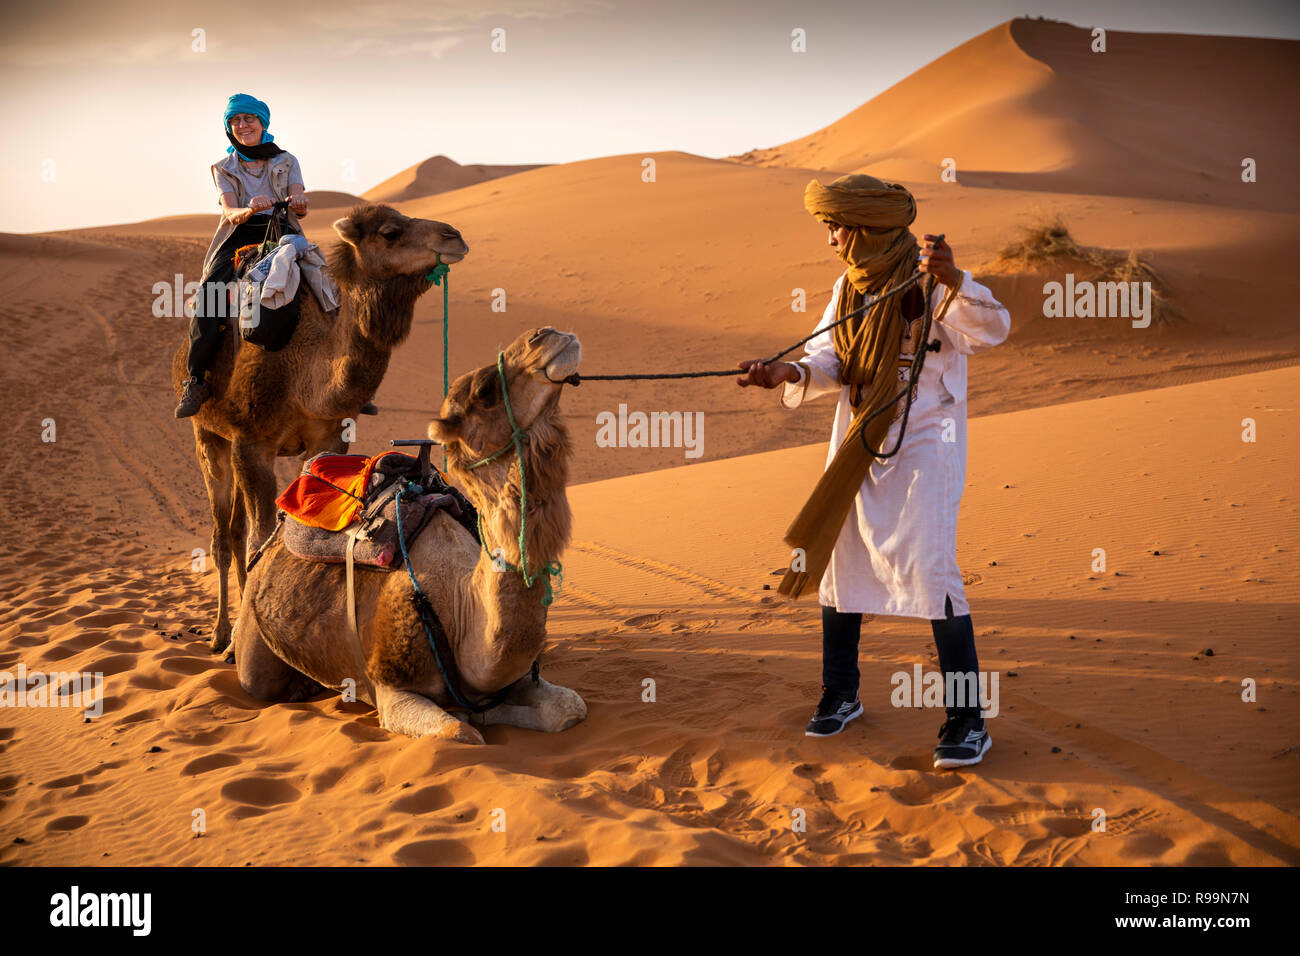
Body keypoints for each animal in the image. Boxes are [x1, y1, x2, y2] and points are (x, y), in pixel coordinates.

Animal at [170, 206, 470, 658]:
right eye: (390, 232)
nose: (454, 236)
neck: (304, 370)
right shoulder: (250, 444)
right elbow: (260, 539)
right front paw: (238, 642)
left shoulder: (328, 437)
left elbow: (293, 528)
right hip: (207, 436)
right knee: (223, 536)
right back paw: (221, 635)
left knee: (235, 532)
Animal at [228, 325, 585, 743]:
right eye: (485, 391)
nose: (547, 334)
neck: (460, 610)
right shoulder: (391, 688)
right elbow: (459, 732)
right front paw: (470, 718)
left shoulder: (517, 677)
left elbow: (570, 708)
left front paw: (482, 712)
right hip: (254, 640)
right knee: (257, 679)